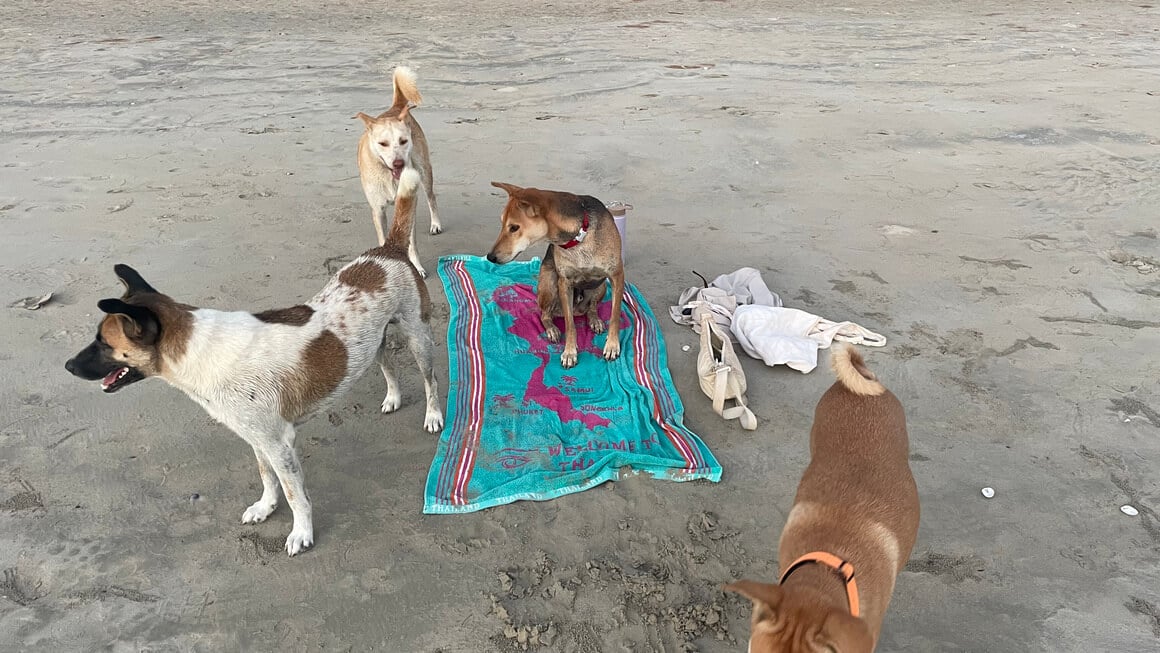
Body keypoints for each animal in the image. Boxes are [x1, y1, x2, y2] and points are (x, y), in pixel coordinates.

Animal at [64, 168, 443, 556]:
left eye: (102, 342)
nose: (67, 366)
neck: (200, 352)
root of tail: (388, 249)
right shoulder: (257, 438)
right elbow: (267, 478)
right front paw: (266, 507)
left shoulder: (279, 443)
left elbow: (296, 495)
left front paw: (301, 532)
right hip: (372, 342)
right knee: (387, 364)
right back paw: (393, 397)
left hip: (418, 337)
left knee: (431, 380)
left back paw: (433, 416)